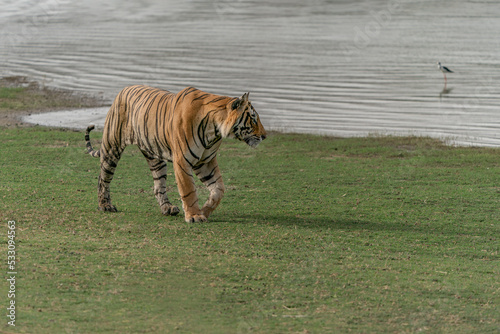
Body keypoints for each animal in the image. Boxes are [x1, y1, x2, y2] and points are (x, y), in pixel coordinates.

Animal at [84, 85, 268, 223]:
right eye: (253, 119)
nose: (265, 136)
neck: (214, 130)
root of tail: (124, 89)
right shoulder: (183, 161)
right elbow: (189, 190)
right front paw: (194, 216)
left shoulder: (206, 162)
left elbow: (218, 189)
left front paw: (205, 211)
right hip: (112, 147)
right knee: (103, 179)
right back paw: (105, 206)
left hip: (155, 157)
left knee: (158, 186)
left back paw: (168, 208)